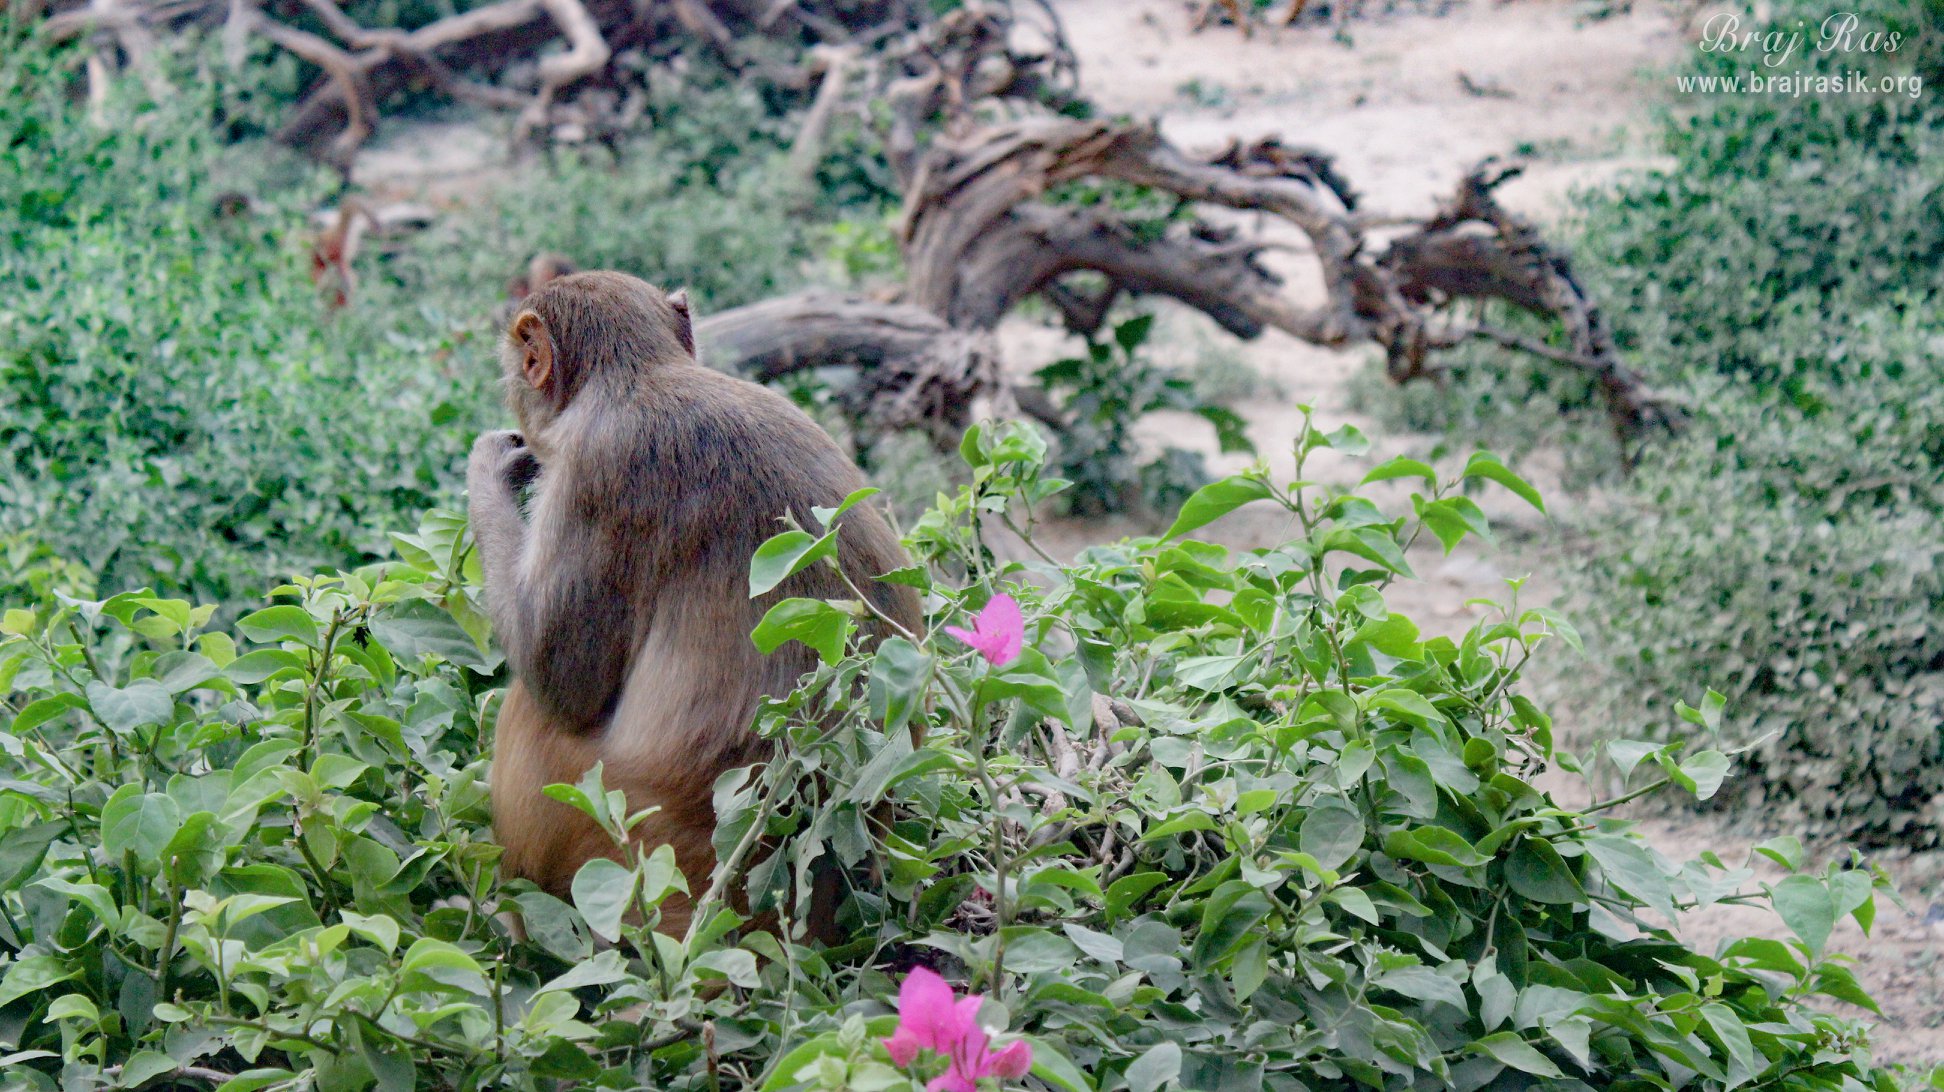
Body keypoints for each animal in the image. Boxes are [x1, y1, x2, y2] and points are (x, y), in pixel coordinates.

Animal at [467, 271, 920, 939]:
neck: (639, 375)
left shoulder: (596, 469)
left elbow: (559, 679)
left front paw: (490, 466)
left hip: (598, 832)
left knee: (530, 710)